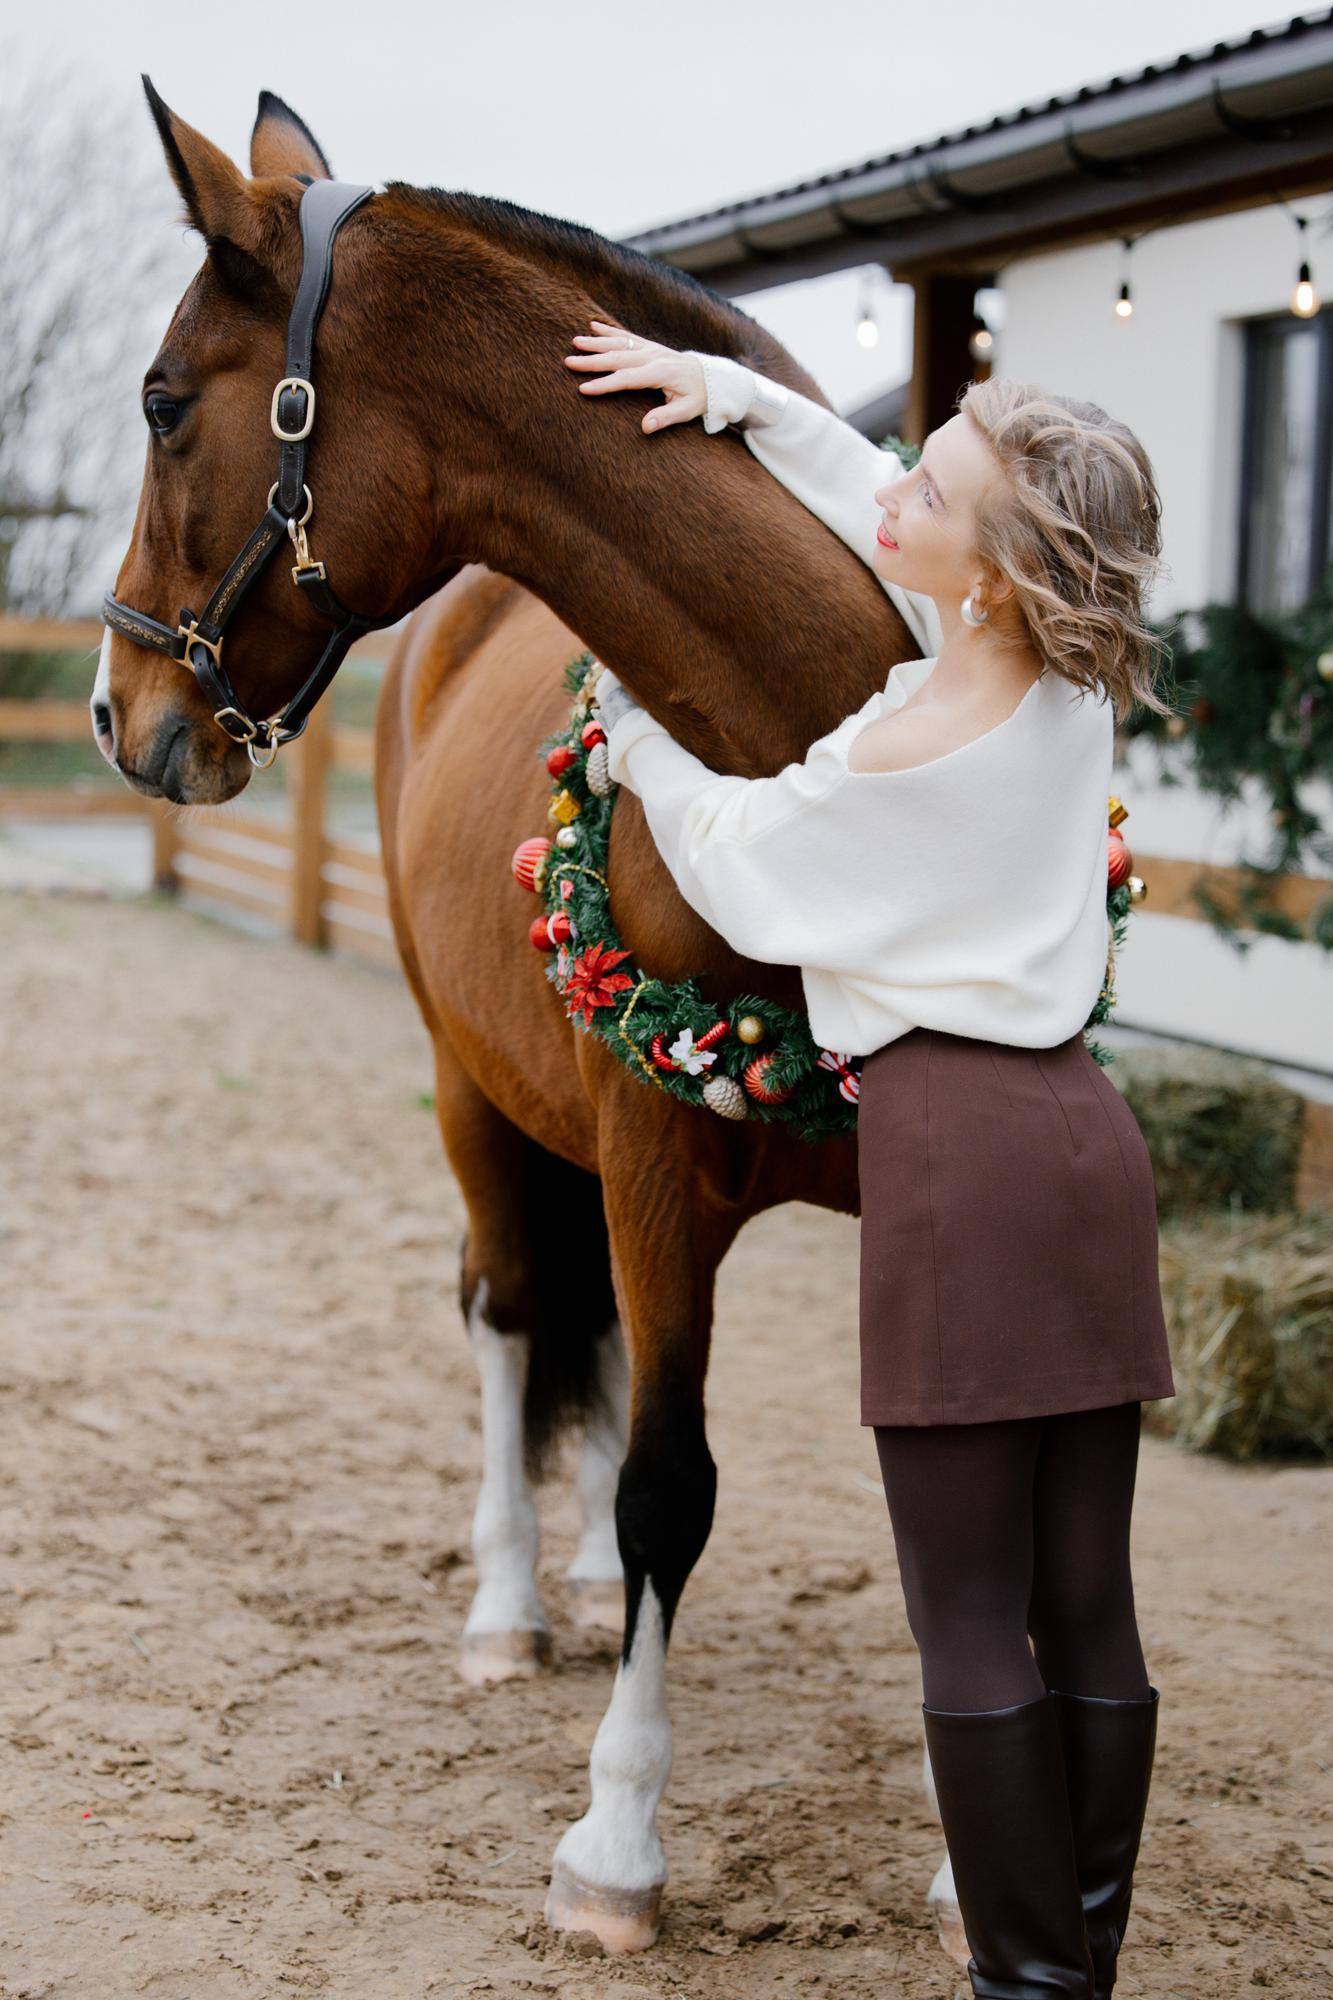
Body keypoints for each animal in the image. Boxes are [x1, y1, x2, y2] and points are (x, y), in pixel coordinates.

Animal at [93, 84, 957, 1957]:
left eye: (162, 401)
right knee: (503, 1315)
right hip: (473, 1094)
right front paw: (615, 1844)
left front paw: (969, 1856)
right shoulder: (649, 1155)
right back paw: (510, 1599)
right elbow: (665, 1491)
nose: (121, 711)